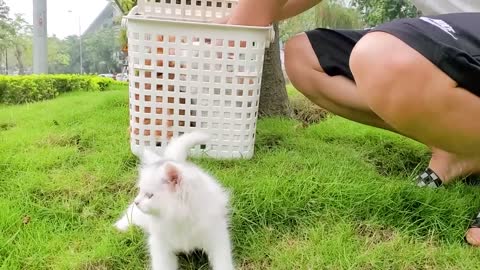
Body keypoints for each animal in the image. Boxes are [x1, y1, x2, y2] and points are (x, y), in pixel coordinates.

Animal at [116, 132, 236, 270]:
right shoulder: (160, 245)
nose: (137, 201)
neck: (180, 217)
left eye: (150, 195)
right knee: (131, 213)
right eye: (140, 191)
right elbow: (162, 266)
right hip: (140, 216)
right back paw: (120, 227)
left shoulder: (217, 236)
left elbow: (223, 262)